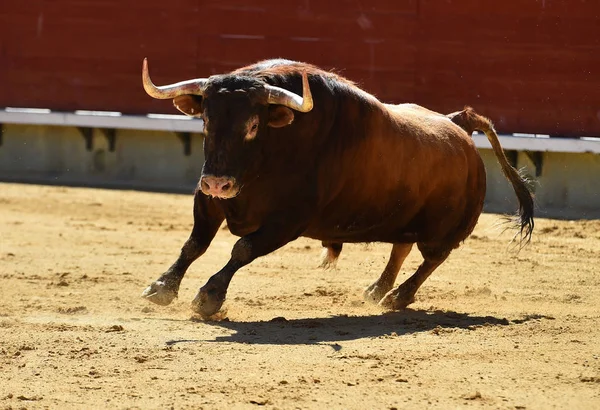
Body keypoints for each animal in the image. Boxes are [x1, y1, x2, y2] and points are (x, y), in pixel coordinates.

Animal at [141, 58, 536, 320]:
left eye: (253, 124)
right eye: (206, 120)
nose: (218, 182)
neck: (274, 149)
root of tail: (459, 127)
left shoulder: (289, 221)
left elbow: (243, 248)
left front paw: (209, 296)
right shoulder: (208, 201)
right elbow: (194, 243)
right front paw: (162, 287)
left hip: (444, 230)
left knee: (432, 258)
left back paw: (398, 296)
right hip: (407, 218)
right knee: (402, 248)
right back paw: (377, 290)